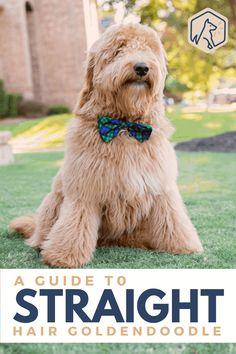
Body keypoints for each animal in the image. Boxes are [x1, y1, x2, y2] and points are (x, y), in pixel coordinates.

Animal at [10, 23, 203, 266]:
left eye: (149, 49)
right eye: (119, 49)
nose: (142, 67)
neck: (124, 127)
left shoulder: (161, 186)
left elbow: (173, 218)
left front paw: (183, 245)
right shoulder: (84, 189)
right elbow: (75, 224)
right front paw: (64, 256)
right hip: (52, 202)